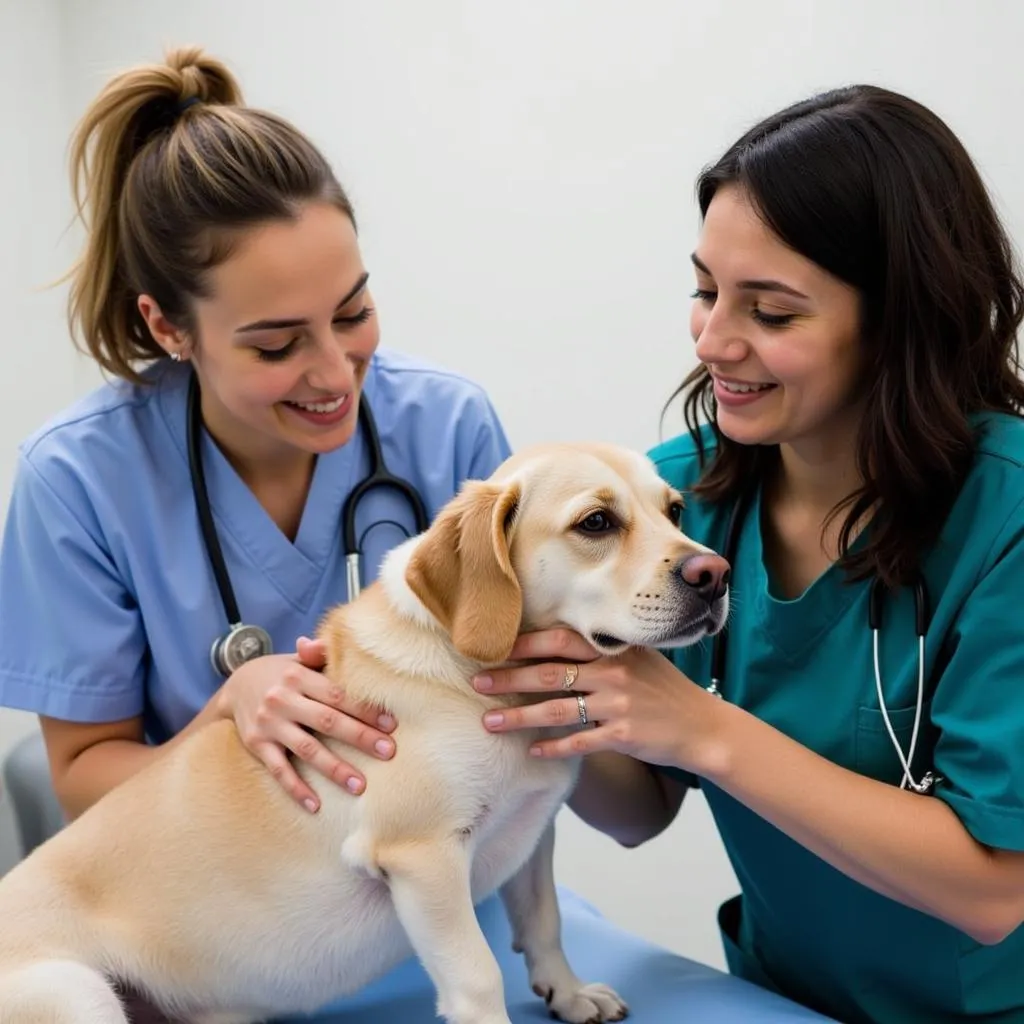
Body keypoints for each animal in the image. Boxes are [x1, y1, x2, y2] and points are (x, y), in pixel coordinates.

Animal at [0, 444, 729, 1024]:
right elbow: (477, 974)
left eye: (675, 510)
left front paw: (569, 993)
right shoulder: (422, 858)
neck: (482, 679)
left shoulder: (532, 830)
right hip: (78, 994)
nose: (714, 575)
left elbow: (543, 922)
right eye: (596, 522)